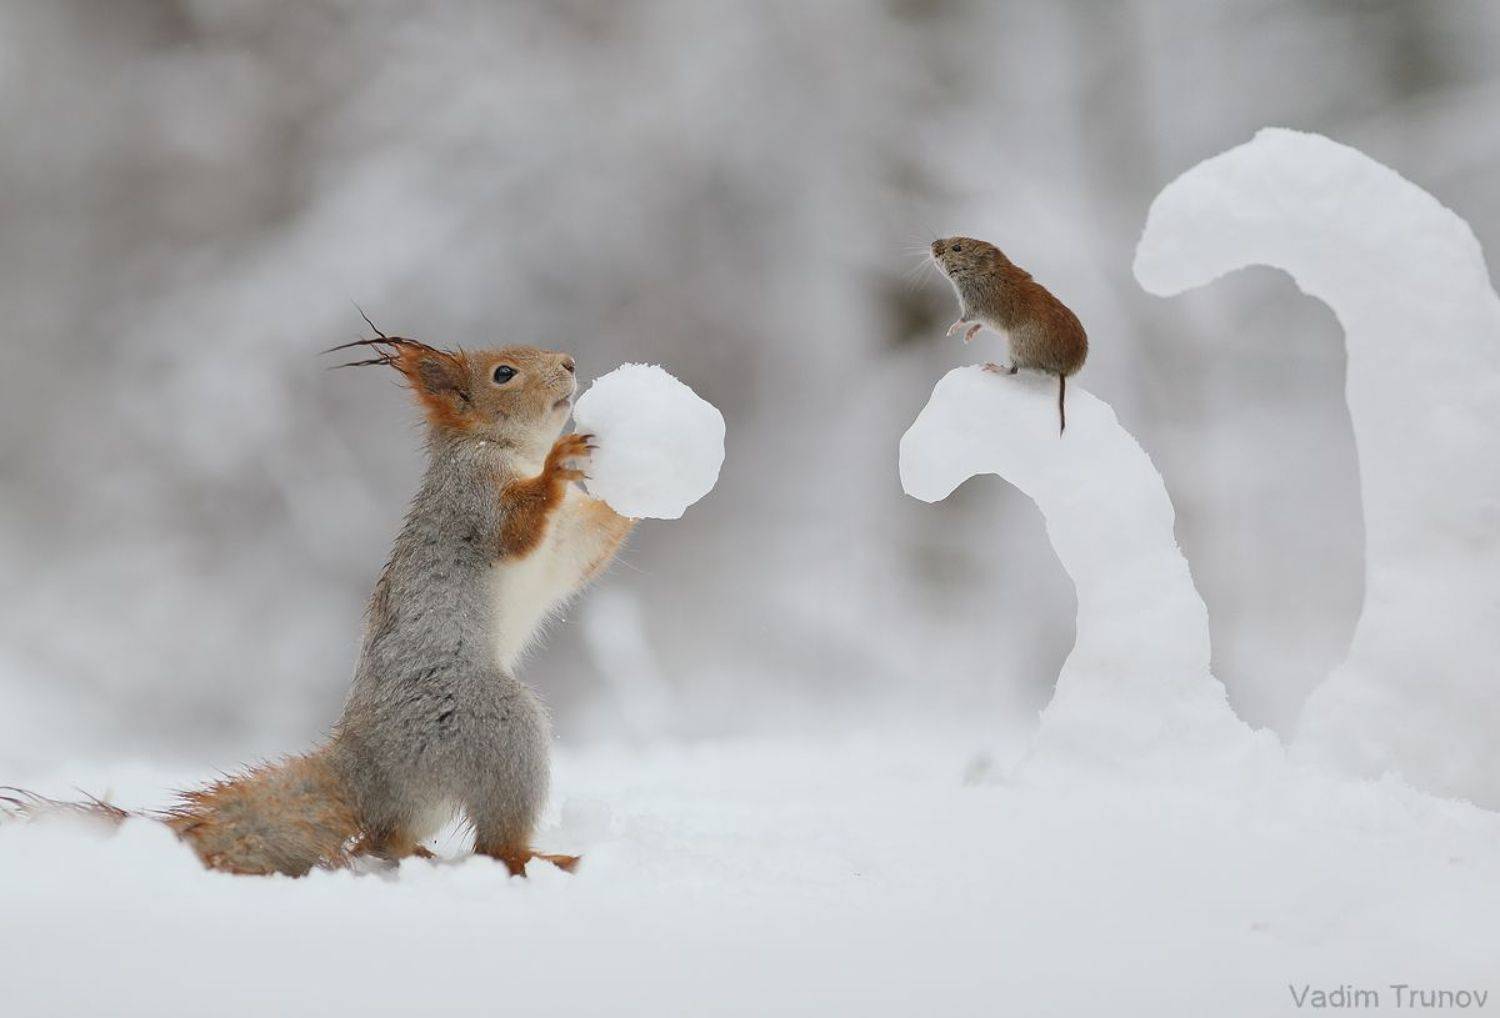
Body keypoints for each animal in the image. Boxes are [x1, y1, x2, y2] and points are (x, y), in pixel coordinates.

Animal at [2, 329, 635, 877]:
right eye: (504, 373)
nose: (569, 363)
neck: (504, 448)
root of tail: (364, 766)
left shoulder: (564, 545)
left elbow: (588, 549)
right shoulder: (471, 496)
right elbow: (516, 526)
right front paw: (561, 463)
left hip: (429, 791)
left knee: (387, 836)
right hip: (493, 724)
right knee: (488, 846)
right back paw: (540, 858)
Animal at [931, 236, 1088, 434]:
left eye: (957, 248)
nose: (932, 246)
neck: (985, 271)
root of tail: (1064, 371)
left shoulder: (973, 307)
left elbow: (963, 320)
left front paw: (951, 330)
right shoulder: (986, 319)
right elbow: (979, 325)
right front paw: (969, 336)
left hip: (1016, 347)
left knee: (1013, 370)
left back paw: (993, 367)